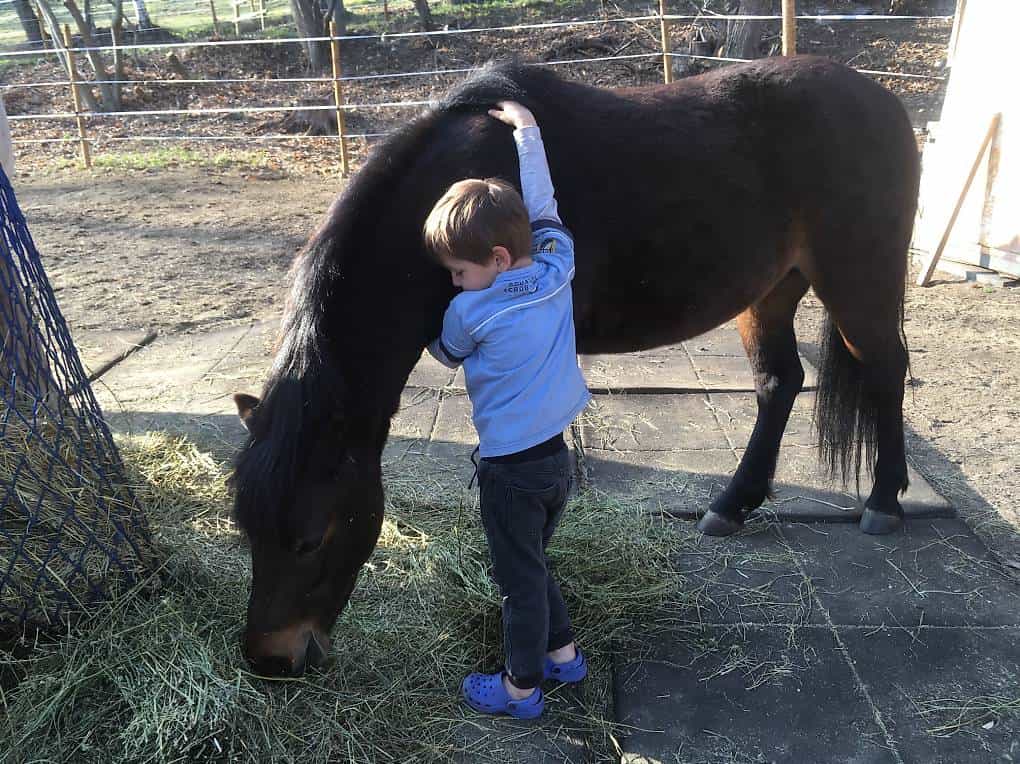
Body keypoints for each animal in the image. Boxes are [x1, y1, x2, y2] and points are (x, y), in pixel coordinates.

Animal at [230, 56, 919, 676]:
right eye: (245, 528)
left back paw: (883, 501)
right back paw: (734, 503)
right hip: (770, 291)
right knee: (780, 383)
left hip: (858, 284)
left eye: (312, 537)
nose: (270, 661)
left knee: (886, 370)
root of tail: (883, 101)